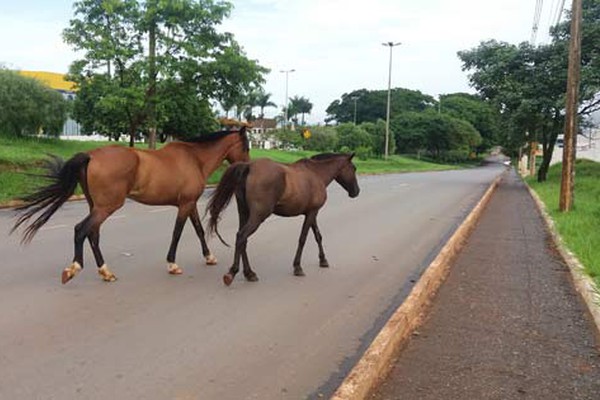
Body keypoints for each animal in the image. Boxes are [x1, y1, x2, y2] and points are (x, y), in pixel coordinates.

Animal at [12, 126, 250, 282]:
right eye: (246, 147)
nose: (248, 167)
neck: (195, 159)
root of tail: (91, 156)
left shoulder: (189, 204)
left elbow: (199, 230)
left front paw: (209, 257)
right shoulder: (185, 204)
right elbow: (178, 233)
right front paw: (172, 264)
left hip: (96, 206)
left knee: (93, 234)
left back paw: (105, 271)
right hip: (106, 207)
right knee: (81, 230)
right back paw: (74, 268)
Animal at [206, 152, 358, 286]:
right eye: (353, 168)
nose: (356, 192)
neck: (316, 174)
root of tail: (249, 166)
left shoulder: (311, 213)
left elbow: (317, 236)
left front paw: (323, 260)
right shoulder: (312, 213)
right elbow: (303, 238)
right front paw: (297, 267)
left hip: (244, 213)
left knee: (242, 240)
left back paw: (249, 273)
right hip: (258, 216)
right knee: (241, 236)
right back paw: (232, 272)